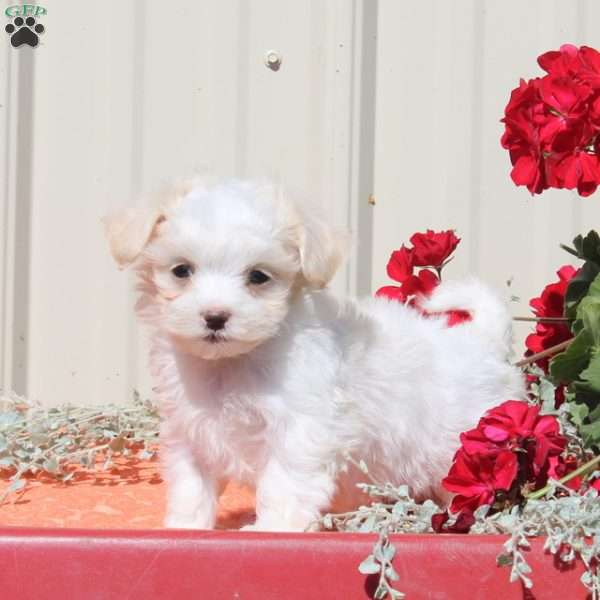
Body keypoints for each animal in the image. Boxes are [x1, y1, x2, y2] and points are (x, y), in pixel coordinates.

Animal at [104, 178, 524, 528]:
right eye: (181, 271)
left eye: (258, 276)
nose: (215, 316)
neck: (233, 364)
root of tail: (482, 339)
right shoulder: (191, 433)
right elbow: (191, 488)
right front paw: (186, 527)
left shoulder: (301, 430)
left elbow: (282, 485)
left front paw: (271, 530)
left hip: (465, 448)